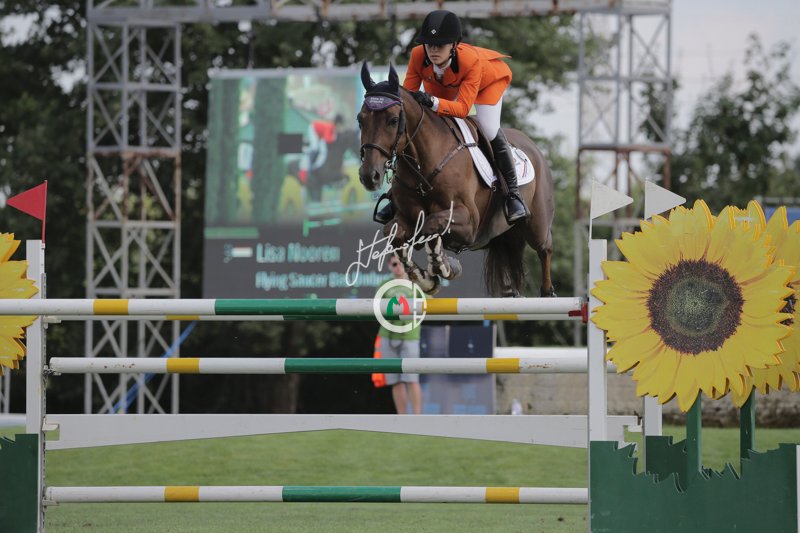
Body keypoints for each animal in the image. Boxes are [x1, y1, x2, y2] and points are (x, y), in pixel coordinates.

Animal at [357, 63, 555, 297]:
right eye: (360, 120)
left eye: (393, 120)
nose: (369, 175)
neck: (423, 168)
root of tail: (534, 147)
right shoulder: (404, 217)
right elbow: (394, 233)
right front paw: (426, 279)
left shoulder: (469, 221)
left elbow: (431, 224)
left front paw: (444, 266)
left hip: (537, 225)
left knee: (544, 249)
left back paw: (548, 292)